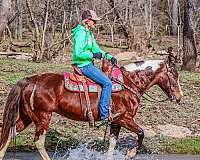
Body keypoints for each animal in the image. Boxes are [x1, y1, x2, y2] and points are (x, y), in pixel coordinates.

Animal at [0, 54, 183, 159]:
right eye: (174, 75)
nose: (179, 97)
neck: (128, 83)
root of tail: (31, 80)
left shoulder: (115, 122)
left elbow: (111, 145)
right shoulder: (125, 118)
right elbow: (141, 133)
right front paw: (130, 154)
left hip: (28, 116)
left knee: (10, 132)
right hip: (43, 116)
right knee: (38, 141)